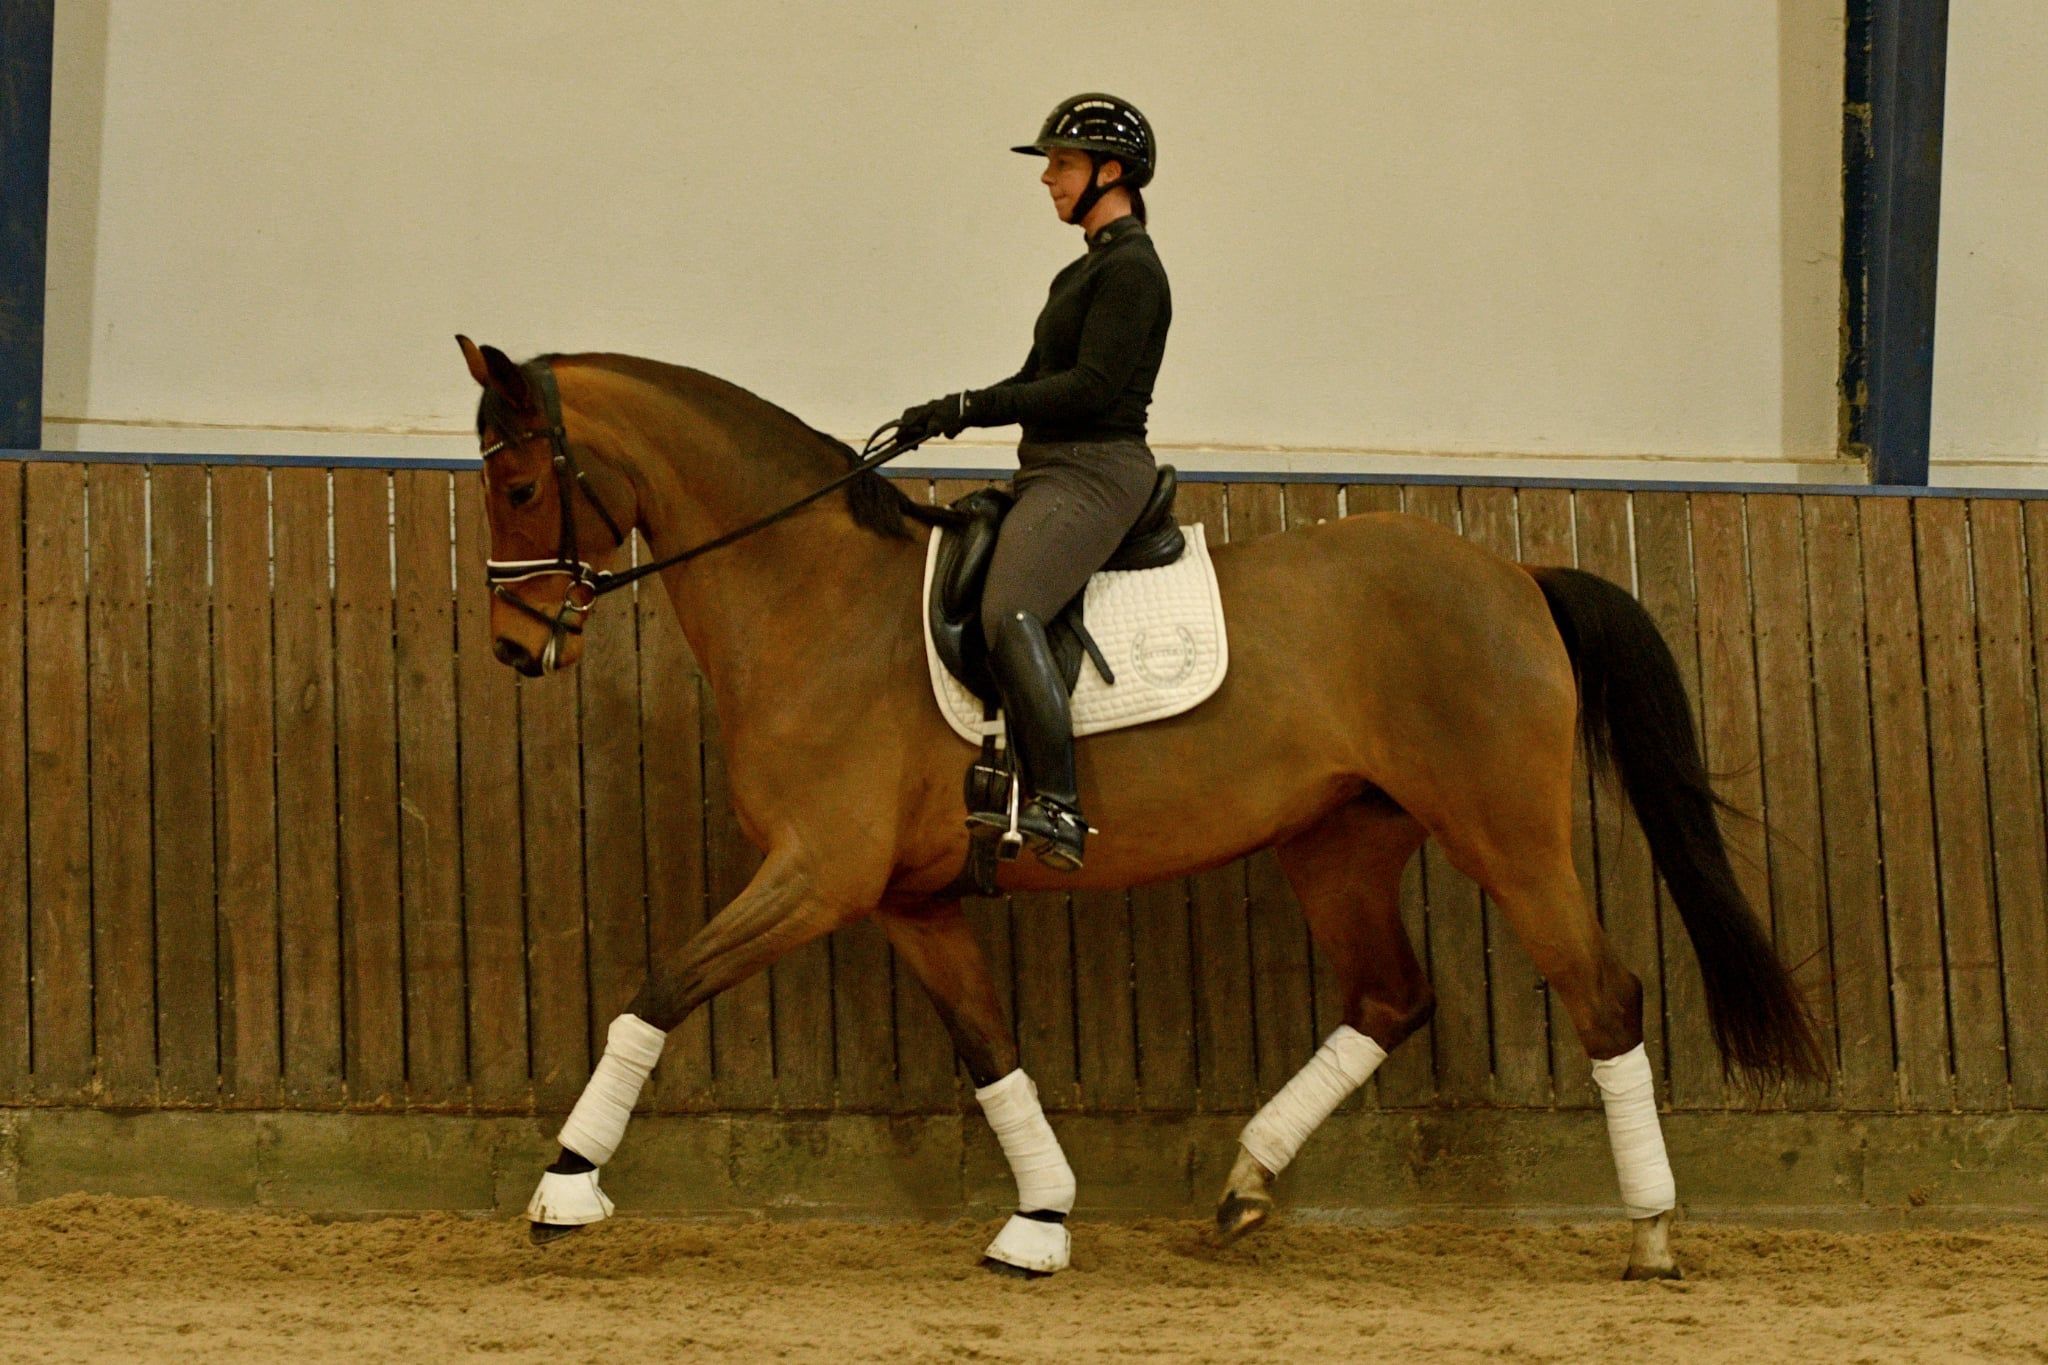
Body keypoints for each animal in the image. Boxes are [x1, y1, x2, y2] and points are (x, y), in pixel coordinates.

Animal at [456, 336, 1823, 1280]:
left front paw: (564, 1186)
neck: (817, 598)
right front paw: (1040, 1218)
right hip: (1337, 840)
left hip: (1506, 833)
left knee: (1602, 995)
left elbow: (658, 987)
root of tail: (1513, 573)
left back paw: (1649, 1236)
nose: (515, 648)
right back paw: (1244, 1186)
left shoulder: (817, 875)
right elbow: (990, 1051)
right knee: (1390, 997)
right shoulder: (905, 902)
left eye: (517, 483)